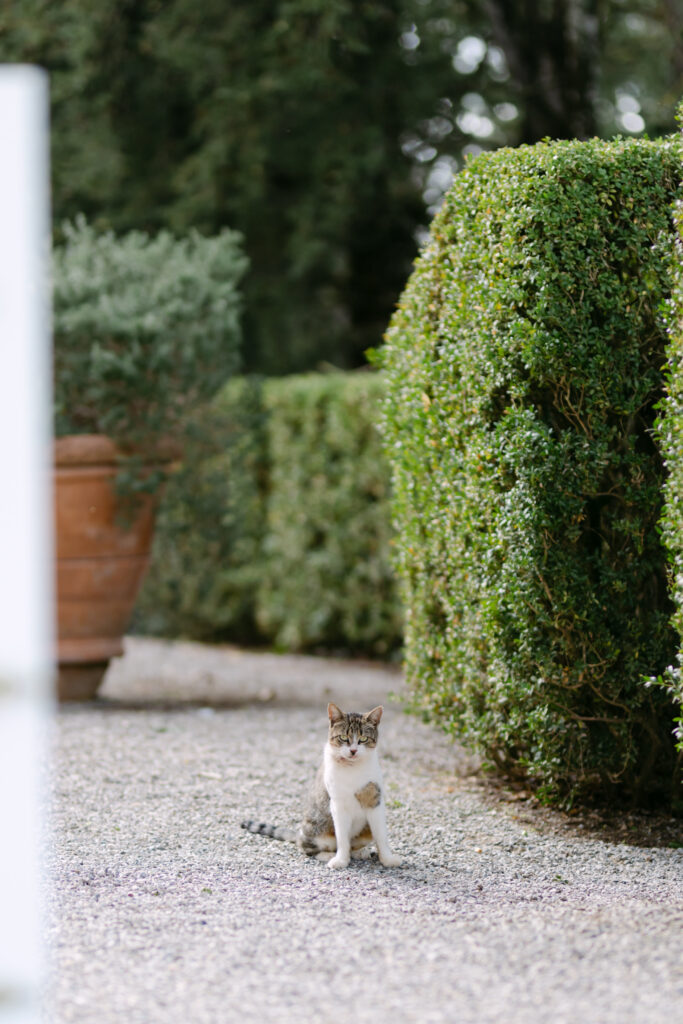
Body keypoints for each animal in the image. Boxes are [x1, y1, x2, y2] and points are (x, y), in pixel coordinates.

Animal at [242, 704, 401, 872]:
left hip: (366, 830)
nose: (353, 750)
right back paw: (327, 855)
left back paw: (359, 851)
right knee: (306, 847)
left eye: (363, 739)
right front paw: (340, 861)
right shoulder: (337, 804)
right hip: (317, 830)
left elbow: (381, 836)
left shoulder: (375, 800)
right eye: (343, 738)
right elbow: (342, 838)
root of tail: (299, 833)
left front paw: (387, 859)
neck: (353, 768)